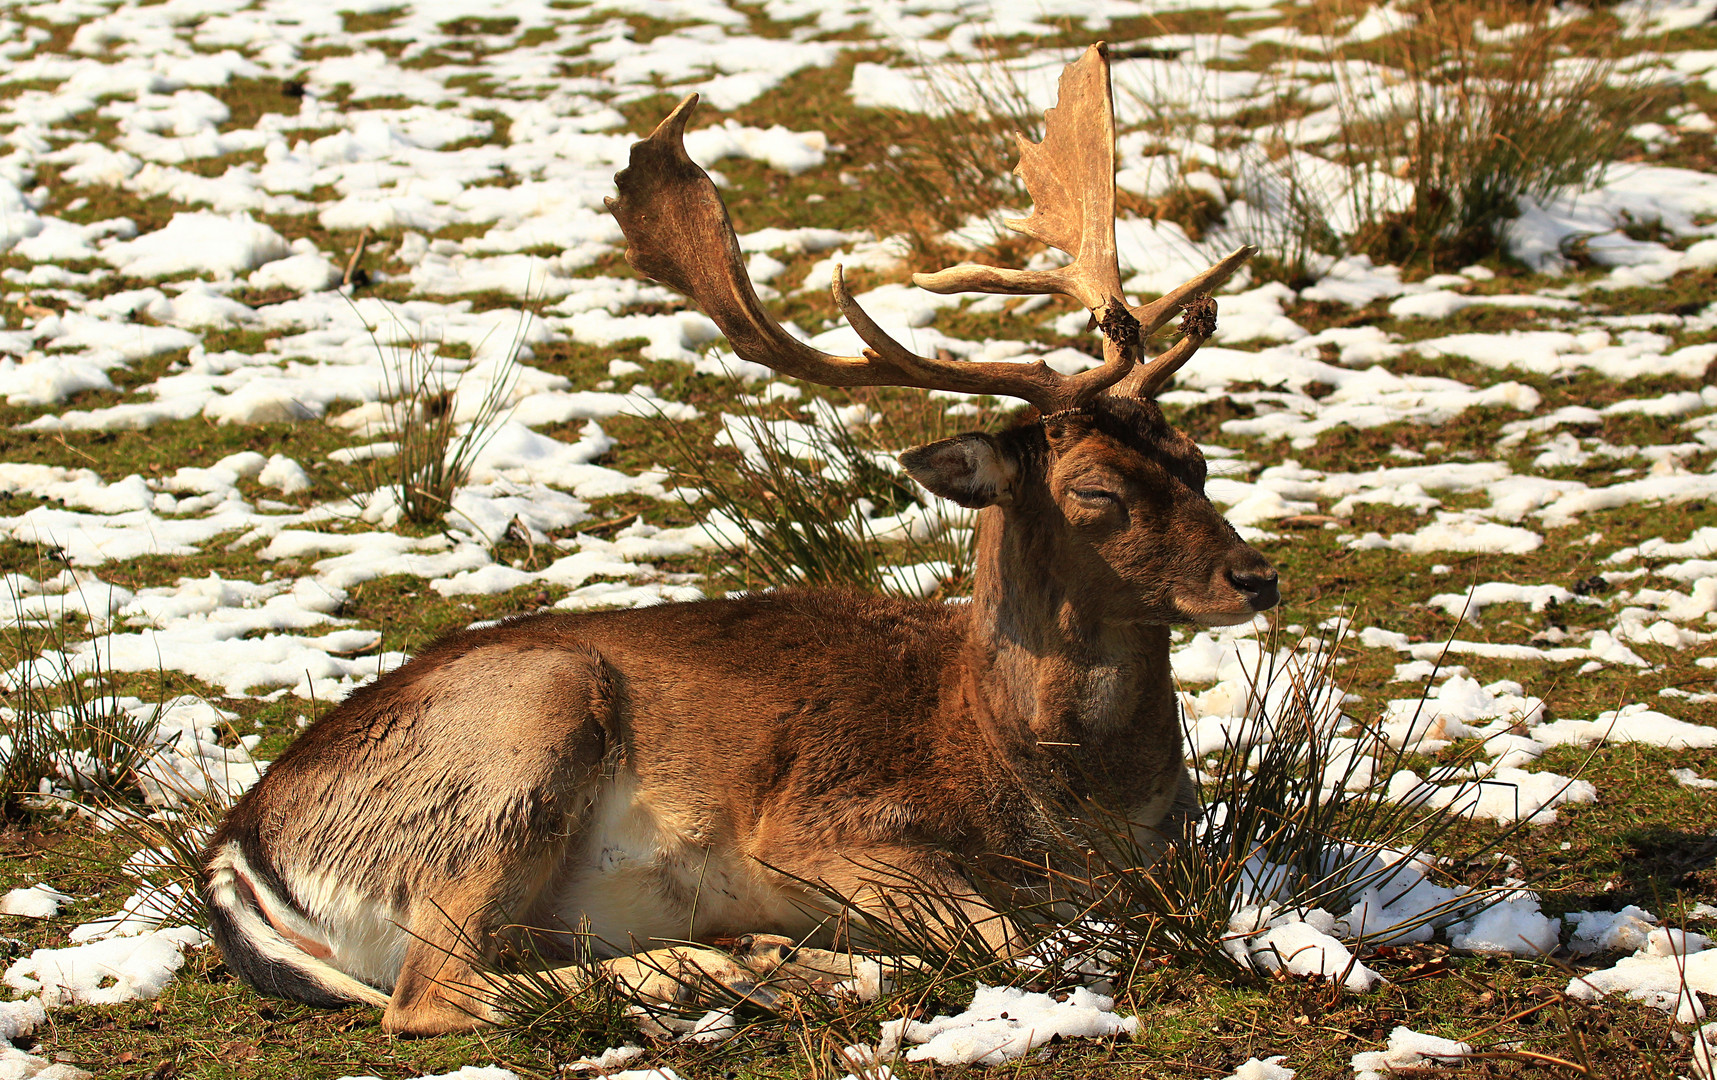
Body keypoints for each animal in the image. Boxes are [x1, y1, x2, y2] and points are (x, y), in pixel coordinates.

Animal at [197, 44, 1277, 1037]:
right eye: (1093, 490)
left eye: (1196, 458)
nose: (1255, 575)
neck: (1050, 792)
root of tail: (235, 848)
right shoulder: (816, 830)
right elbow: (1015, 938)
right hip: (520, 732)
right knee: (427, 995)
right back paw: (735, 970)